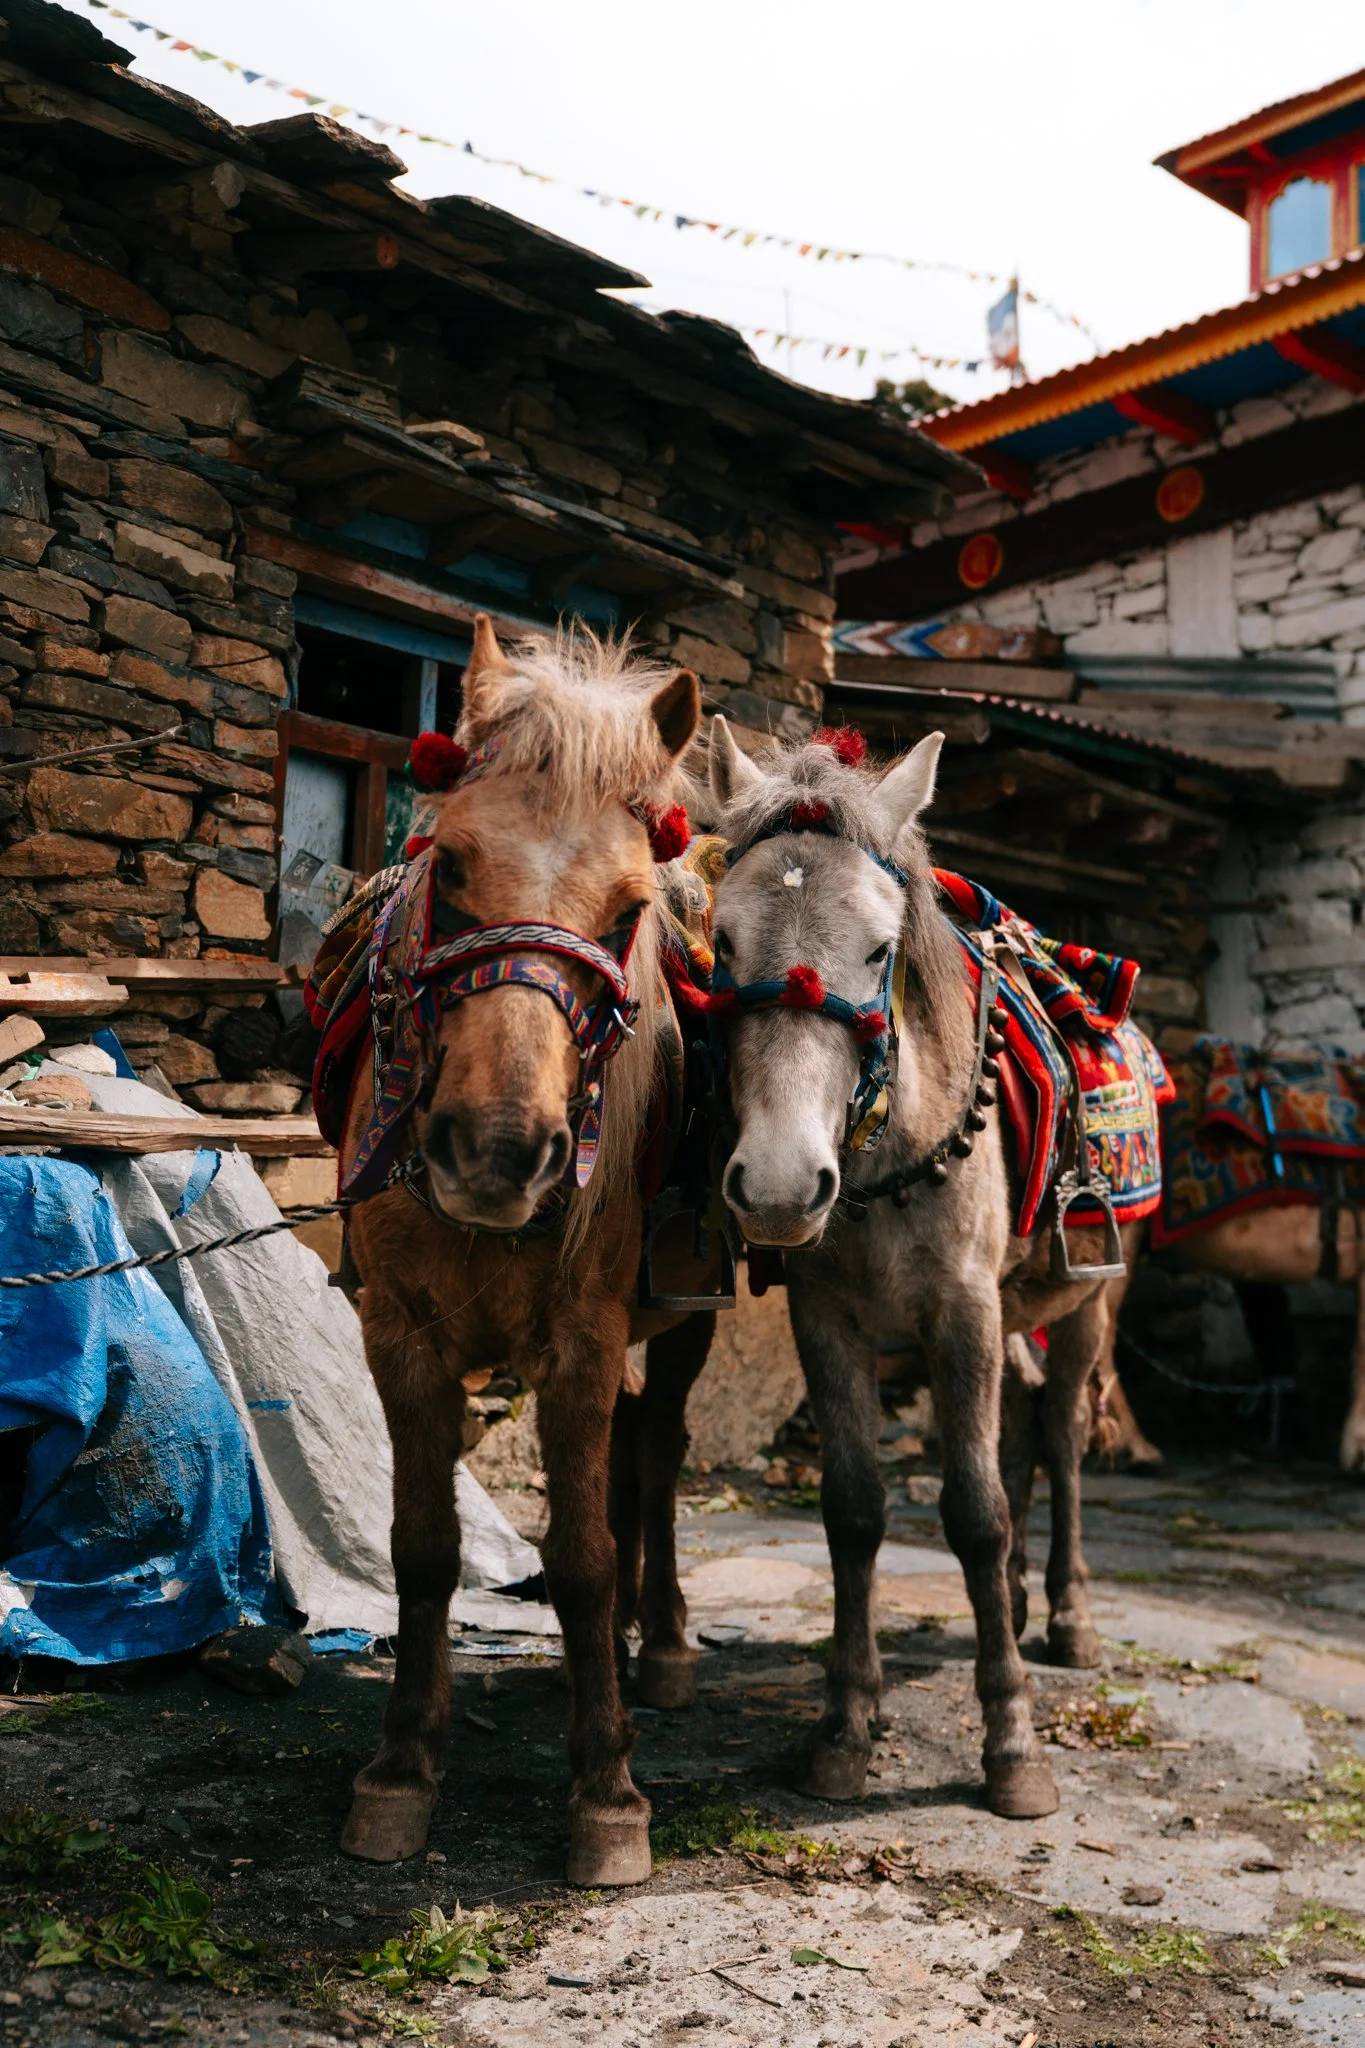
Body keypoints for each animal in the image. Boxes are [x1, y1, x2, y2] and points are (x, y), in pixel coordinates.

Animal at [336, 617, 716, 1886]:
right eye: (451, 867)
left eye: (628, 909)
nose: (499, 1152)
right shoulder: (400, 1336)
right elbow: (422, 1547)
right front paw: (404, 1766)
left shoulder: (585, 1344)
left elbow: (588, 1551)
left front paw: (607, 1787)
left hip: (684, 1324)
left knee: (658, 1457)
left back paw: (664, 1645)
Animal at [705, 715, 1163, 1820]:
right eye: (723, 941)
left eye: (878, 948)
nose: (778, 1185)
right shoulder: (829, 1319)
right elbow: (856, 1508)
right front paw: (843, 1726)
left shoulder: (960, 1311)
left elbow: (973, 1512)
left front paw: (1012, 1744)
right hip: (1014, 1307)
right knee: (1027, 1425)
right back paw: (1019, 1605)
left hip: (1091, 1304)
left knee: (1065, 1436)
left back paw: (1067, 1616)